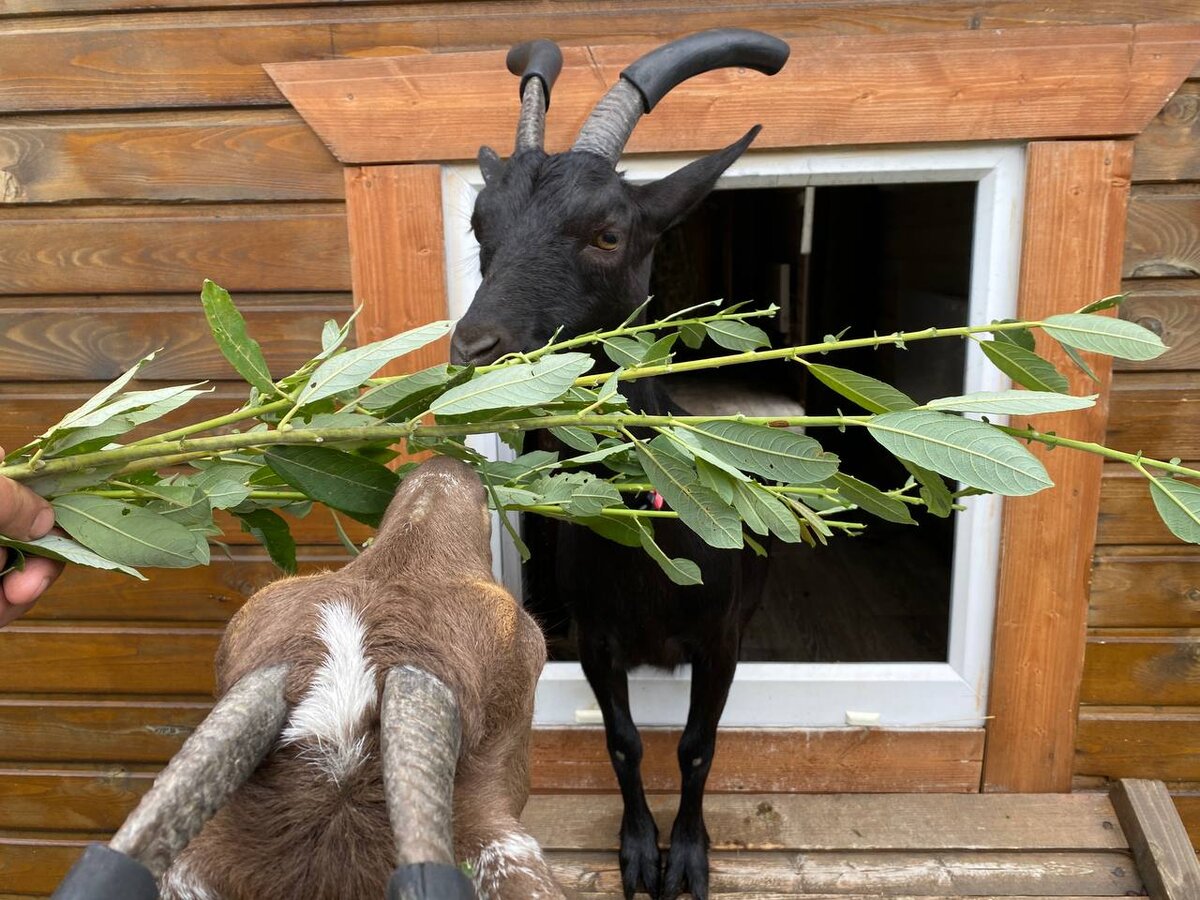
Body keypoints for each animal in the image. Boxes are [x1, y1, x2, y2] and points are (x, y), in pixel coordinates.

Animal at [448, 30, 787, 900]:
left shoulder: (720, 639)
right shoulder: (600, 641)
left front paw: (688, 857)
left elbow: (697, 746)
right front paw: (638, 852)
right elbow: (625, 742)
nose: (476, 351)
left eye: (607, 232)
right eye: (479, 225)